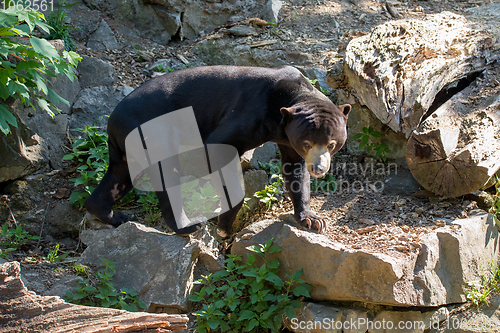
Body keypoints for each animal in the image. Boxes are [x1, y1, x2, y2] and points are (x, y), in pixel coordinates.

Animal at [85, 65, 352, 236]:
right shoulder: (249, 112)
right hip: (152, 131)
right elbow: (218, 150)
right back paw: (188, 226)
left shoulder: (287, 139)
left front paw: (312, 220)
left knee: (119, 176)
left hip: (128, 147)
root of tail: (112, 119)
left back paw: (113, 215)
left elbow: (295, 171)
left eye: (331, 144)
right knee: (166, 175)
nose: (319, 168)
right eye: (307, 143)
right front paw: (224, 226)